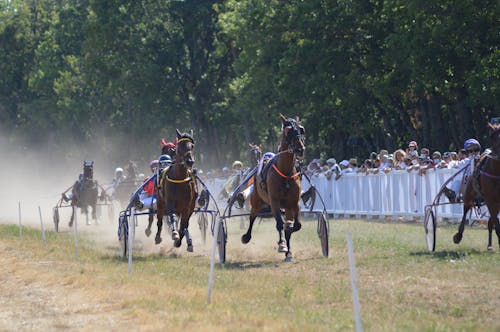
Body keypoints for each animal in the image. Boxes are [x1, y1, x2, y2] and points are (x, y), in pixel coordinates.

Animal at [241, 114, 304, 262]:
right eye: (288, 130)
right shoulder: (274, 201)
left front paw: (288, 248)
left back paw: (288, 252)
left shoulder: (294, 202)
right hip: (256, 201)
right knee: (252, 216)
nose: (300, 149)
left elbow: (295, 225)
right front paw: (282, 245)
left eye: (301, 129)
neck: (286, 172)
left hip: (287, 207)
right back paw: (246, 236)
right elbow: (280, 223)